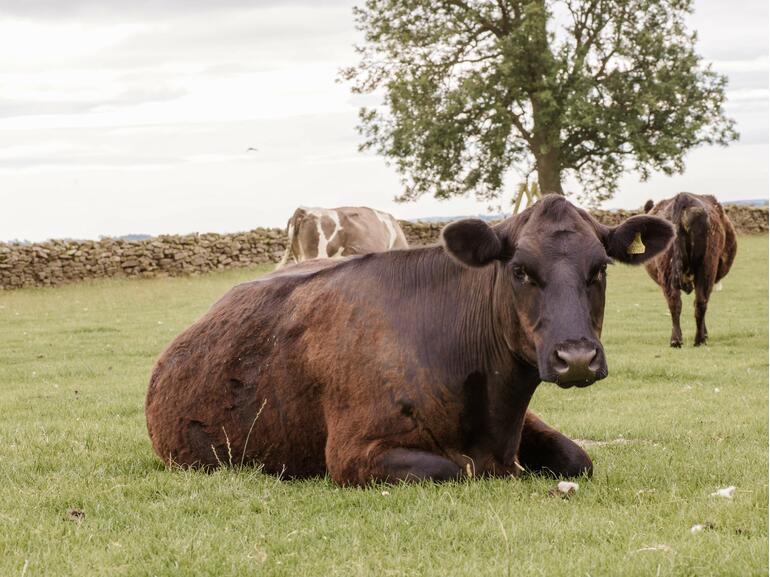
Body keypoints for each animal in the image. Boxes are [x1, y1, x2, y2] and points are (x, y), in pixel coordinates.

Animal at [640, 194, 736, 346]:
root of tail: (683, 198)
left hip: (670, 272)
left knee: (677, 302)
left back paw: (677, 340)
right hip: (706, 267)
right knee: (700, 302)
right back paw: (698, 339)